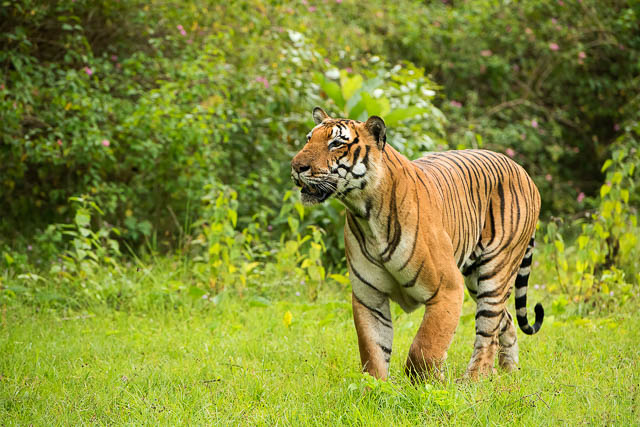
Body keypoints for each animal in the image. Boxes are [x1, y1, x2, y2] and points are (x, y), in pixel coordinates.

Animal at [292, 108, 544, 382]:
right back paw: (509, 372)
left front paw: (434, 381)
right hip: (474, 278)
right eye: (308, 139)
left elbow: (424, 348)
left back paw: (473, 380)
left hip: (495, 271)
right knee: (505, 320)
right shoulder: (369, 296)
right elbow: (373, 352)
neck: (364, 212)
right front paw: (377, 388)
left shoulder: (448, 289)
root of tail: (522, 171)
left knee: (488, 333)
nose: (296, 166)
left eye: (337, 143)